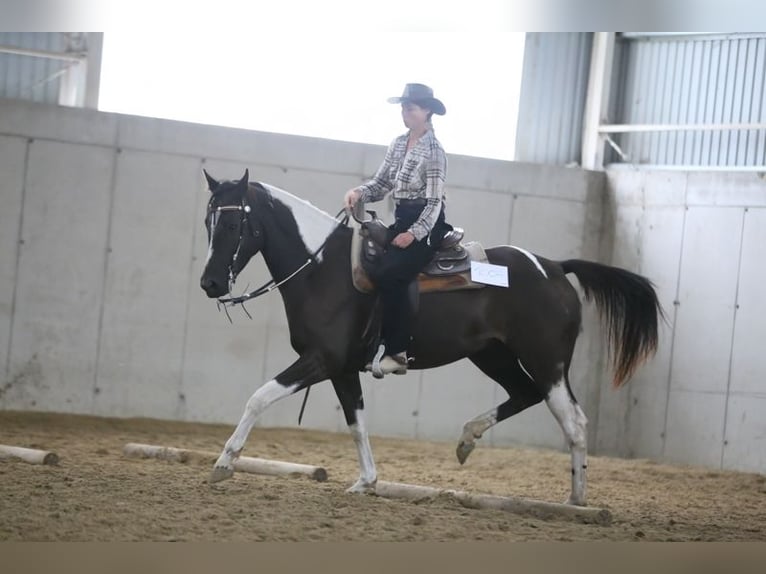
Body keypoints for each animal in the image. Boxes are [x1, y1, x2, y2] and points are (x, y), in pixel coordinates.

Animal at [201, 169, 664, 506]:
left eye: (234, 221)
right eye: (208, 221)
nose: (210, 283)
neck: (323, 269)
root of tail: (554, 267)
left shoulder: (321, 360)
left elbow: (258, 397)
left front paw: (224, 463)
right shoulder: (342, 369)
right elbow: (356, 424)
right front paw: (366, 481)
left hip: (547, 361)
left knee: (572, 420)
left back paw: (575, 502)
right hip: (492, 355)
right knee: (524, 394)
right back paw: (467, 439)